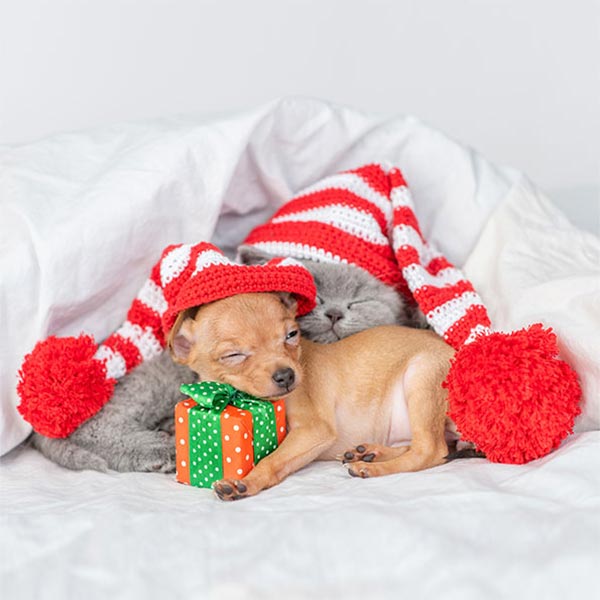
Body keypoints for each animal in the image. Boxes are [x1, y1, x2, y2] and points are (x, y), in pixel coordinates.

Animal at [30, 250, 420, 474]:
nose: (336, 313)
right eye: (318, 296)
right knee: (97, 427)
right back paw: (159, 448)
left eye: (359, 301)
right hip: (147, 385)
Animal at [169, 292, 454, 500]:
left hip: (421, 376)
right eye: (233, 355)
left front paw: (247, 481)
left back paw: (372, 467)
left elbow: (273, 460)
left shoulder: (313, 430)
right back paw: (370, 453)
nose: (286, 375)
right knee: (423, 445)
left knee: (430, 450)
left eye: (292, 335)